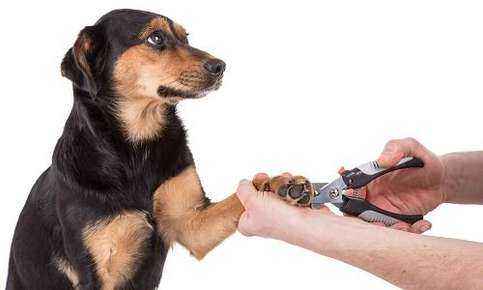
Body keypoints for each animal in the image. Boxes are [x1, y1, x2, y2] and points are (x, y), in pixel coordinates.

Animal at [6, 9, 314, 290]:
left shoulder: (192, 223)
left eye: (186, 37)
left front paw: (280, 183)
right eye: (155, 37)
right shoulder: (96, 271)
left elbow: (239, 197)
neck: (136, 148)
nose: (220, 66)